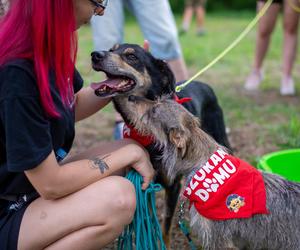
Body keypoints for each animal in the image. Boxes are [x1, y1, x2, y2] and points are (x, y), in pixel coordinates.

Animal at [90, 43, 231, 246]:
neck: (147, 131)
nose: (95, 55)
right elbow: (148, 220)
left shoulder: (172, 185)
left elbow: (166, 223)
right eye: (111, 49)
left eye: (131, 56)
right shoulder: (144, 183)